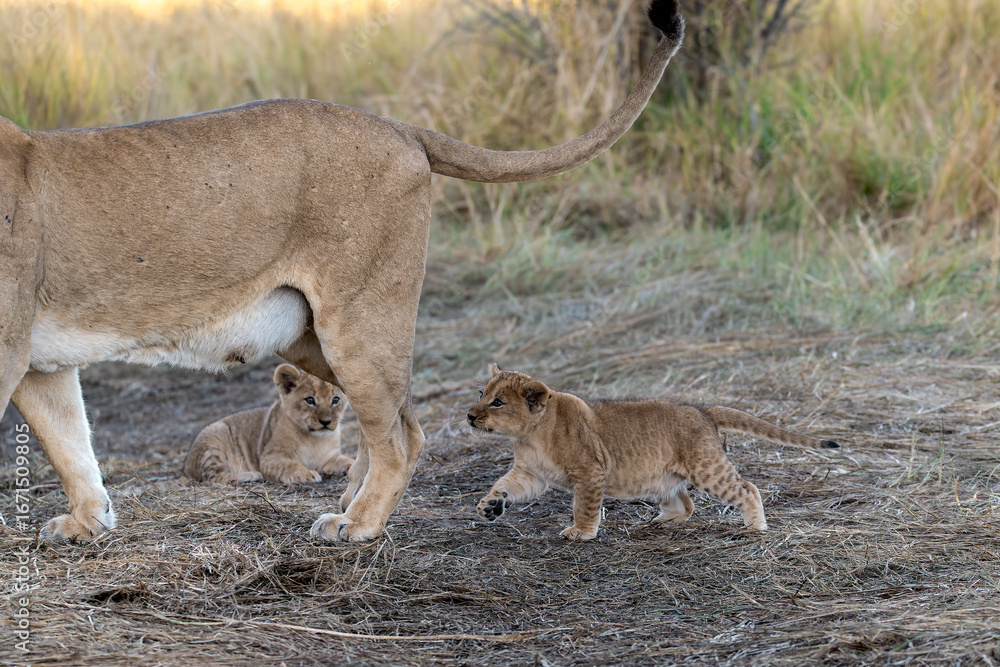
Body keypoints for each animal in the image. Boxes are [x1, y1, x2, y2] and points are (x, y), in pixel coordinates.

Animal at [183, 364, 353, 485]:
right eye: (310, 400)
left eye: (335, 400)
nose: (326, 422)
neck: (315, 440)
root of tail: (187, 468)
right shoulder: (269, 458)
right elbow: (289, 464)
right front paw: (305, 473)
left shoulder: (329, 458)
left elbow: (349, 461)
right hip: (213, 440)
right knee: (213, 478)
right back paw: (251, 475)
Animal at [467, 365, 840, 540]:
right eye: (482, 393)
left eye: (498, 402)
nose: (470, 415)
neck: (530, 435)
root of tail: (702, 409)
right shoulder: (531, 473)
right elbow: (505, 484)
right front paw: (490, 506)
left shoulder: (591, 471)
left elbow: (583, 506)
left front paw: (581, 532)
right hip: (662, 475)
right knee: (685, 503)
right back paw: (661, 522)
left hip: (706, 466)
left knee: (747, 489)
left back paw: (756, 527)